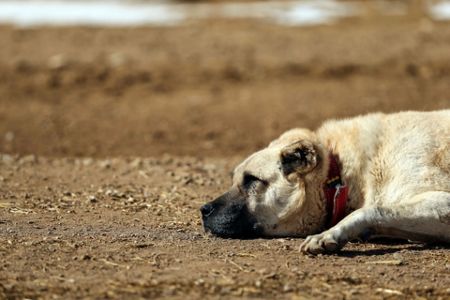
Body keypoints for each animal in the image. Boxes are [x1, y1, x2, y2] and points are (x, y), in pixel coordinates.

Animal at [201, 110, 450, 253]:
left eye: (252, 179)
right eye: (235, 179)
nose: (203, 210)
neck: (341, 174)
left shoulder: (443, 204)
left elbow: (372, 209)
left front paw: (329, 235)